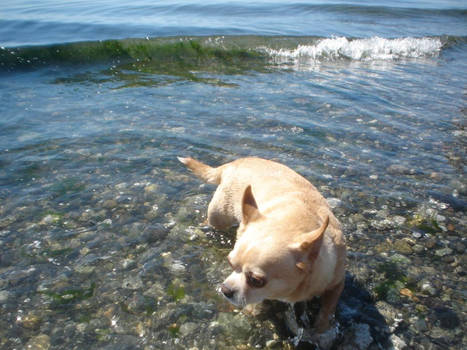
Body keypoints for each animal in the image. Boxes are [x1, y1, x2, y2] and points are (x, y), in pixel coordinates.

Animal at [180, 157, 348, 332]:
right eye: (229, 263)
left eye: (256, 280)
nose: (225, 289)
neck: (295, 221)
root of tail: (235, 163)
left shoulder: (336, 283)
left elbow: (328, 308)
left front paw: (321, 328)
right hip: (218, 217)